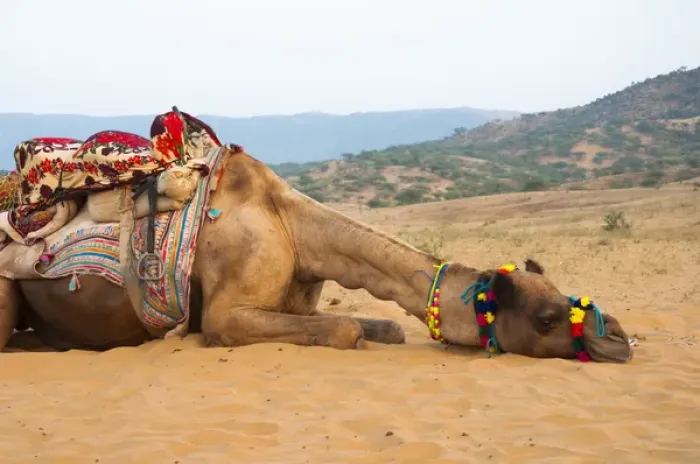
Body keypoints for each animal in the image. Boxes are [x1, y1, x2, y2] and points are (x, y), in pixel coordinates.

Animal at [0, 146, 633, 363]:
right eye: (547, 318)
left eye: (567, 296)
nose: (619, 339)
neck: (294, 229)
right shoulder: (226, 316)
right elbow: (346, 332)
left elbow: (380, 326)